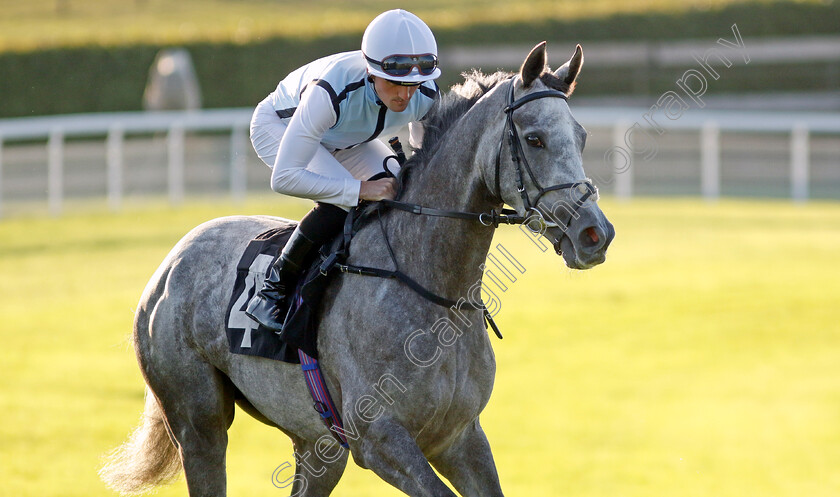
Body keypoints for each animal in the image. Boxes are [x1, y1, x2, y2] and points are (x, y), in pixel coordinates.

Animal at [101, 43, 616, 496]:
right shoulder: (380, 440)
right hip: (199, 424)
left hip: (317, 444)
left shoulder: (460, 436)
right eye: (534, 139)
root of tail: (170, 263)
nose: (595, 233)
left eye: (583, 137)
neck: (432, 287)